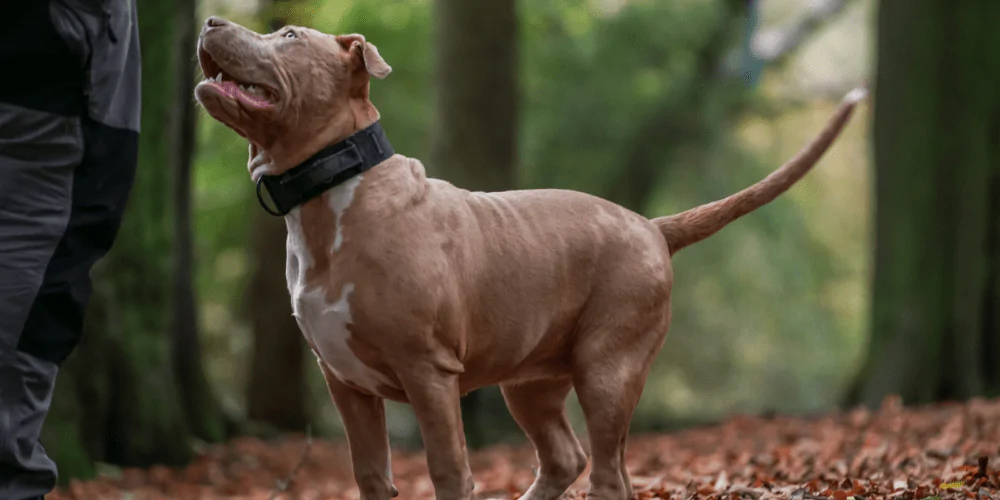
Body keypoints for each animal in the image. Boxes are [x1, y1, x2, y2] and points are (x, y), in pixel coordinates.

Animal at [195, 15, 868, 500]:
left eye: (288, 36)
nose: (209, 20)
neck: (333, 192)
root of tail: (649, 226)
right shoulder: (346, 383)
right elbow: (373, 477)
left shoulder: (427, 372)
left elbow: (448, 471)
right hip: (532, 380)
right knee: (566, 457)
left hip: (608, 369)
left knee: (609, 474)